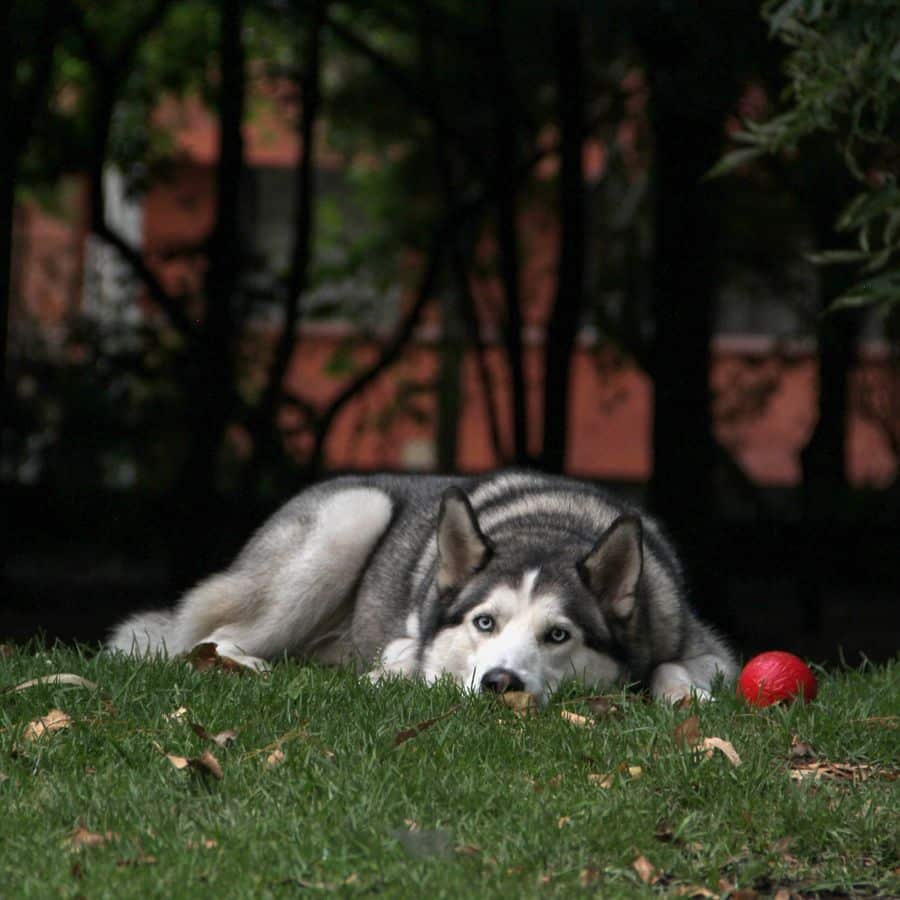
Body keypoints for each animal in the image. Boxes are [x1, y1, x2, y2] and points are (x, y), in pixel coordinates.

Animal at [107, 472, 740, 704]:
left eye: (558, 635)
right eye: (484, 622)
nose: (500, 682)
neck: (551, 526)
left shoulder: (708, 649)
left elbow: (673, 666)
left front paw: (685, 696)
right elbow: (412, 657)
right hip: (349, 516)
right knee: (208, 636)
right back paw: (246, 664)